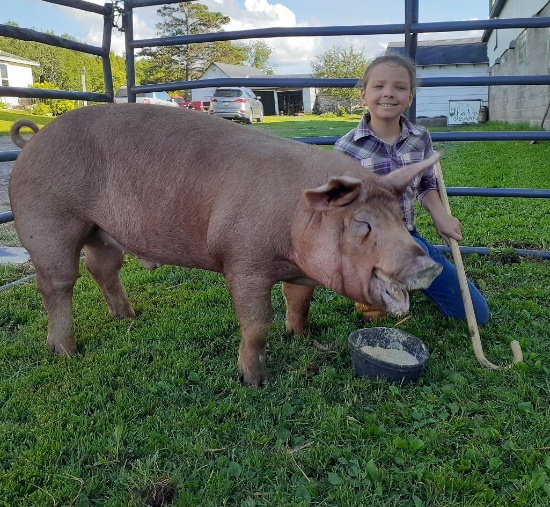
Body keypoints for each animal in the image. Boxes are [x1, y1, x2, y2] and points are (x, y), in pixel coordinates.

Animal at [8, 105, 444, 386]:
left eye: (398, 217)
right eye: (362, 223)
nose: (428, 265)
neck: (293, 222)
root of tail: (33, 141)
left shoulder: (299, 270)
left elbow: (299, 302)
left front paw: (304, 338)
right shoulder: (244, 262)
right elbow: (256, 324)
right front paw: (253, 381)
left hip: (103, 231)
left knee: (102, 269)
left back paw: (128, 319)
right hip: (49, 221)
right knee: (57, 283)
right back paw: (66, 352)